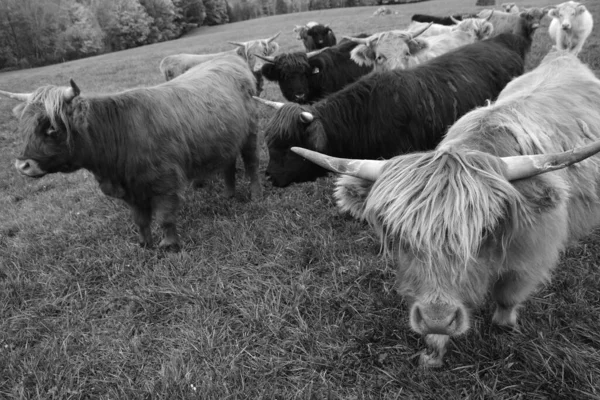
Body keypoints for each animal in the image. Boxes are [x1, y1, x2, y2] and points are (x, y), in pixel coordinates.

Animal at [1, 55, 262, 250]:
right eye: (24, 127)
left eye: (52, 128)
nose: (22, 165)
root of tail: (229, 59)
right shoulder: (131, 187)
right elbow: (140, 219)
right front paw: (145, 244)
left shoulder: (165, 181)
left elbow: (165, 217)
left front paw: (170, 245)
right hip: (227, 138)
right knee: (228, 163)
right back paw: (228, 194)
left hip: (250, 134)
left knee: (251, 163)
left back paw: (254, 194)